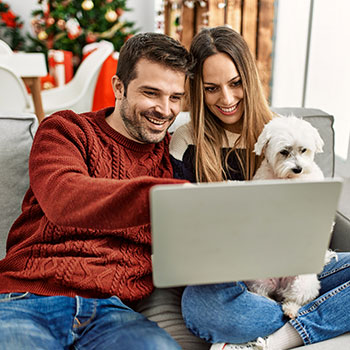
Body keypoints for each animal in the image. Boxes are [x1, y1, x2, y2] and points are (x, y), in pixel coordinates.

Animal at [243, 116, 336, 318]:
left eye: (303, 150)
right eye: (284, 152)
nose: (298, 169)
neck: (289, 180)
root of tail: (281, 284)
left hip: (303, 283)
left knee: (298, 300)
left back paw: (291, 309)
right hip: (260, 278)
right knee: (264, 295)